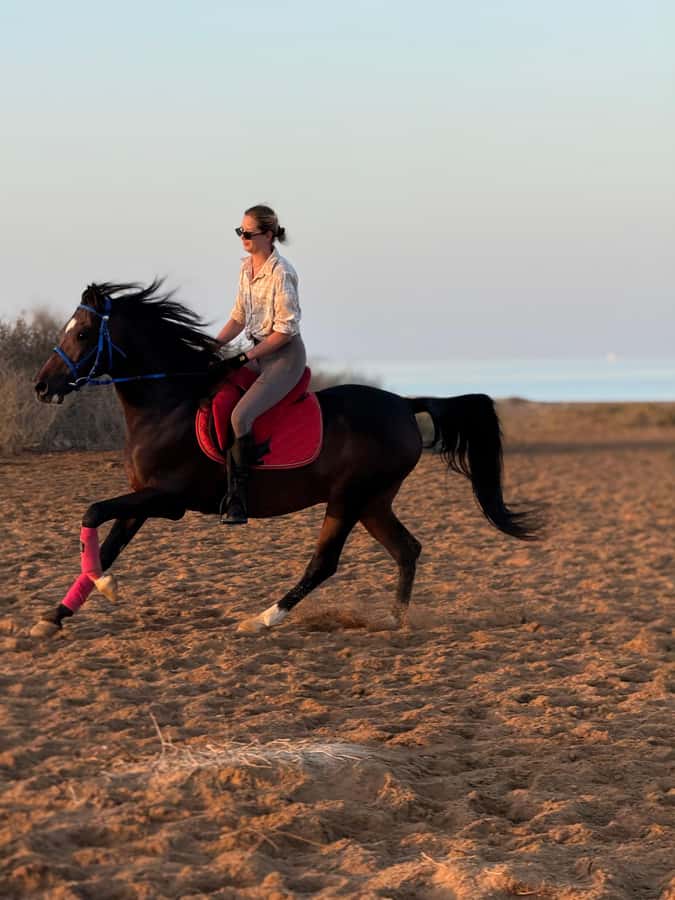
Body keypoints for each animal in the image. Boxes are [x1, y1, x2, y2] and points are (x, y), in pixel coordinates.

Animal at [32, 281, 539, 637]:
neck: (168, 402)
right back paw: (395, 621)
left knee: (325, 563)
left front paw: (103, 588)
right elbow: (108, 541)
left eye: (82, 333)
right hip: (373, 502)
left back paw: (263, 619)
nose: (42, 386)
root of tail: (404, 403)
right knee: (406, 549)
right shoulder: (142, 498)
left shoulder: (167, 500)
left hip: (348, 499)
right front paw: (55, 615)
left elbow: (92, 512)